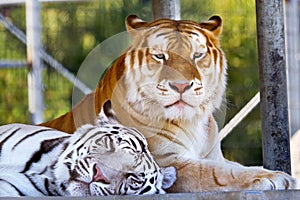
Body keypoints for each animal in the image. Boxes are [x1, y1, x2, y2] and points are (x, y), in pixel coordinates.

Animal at [40, 14, 298, 191]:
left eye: (197, 55)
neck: (193, 123)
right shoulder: (169, 163)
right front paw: (276, 178)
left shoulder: (214, 156)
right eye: (159, 56)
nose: (181, 86)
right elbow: (218, 174)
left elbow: (234, 167)